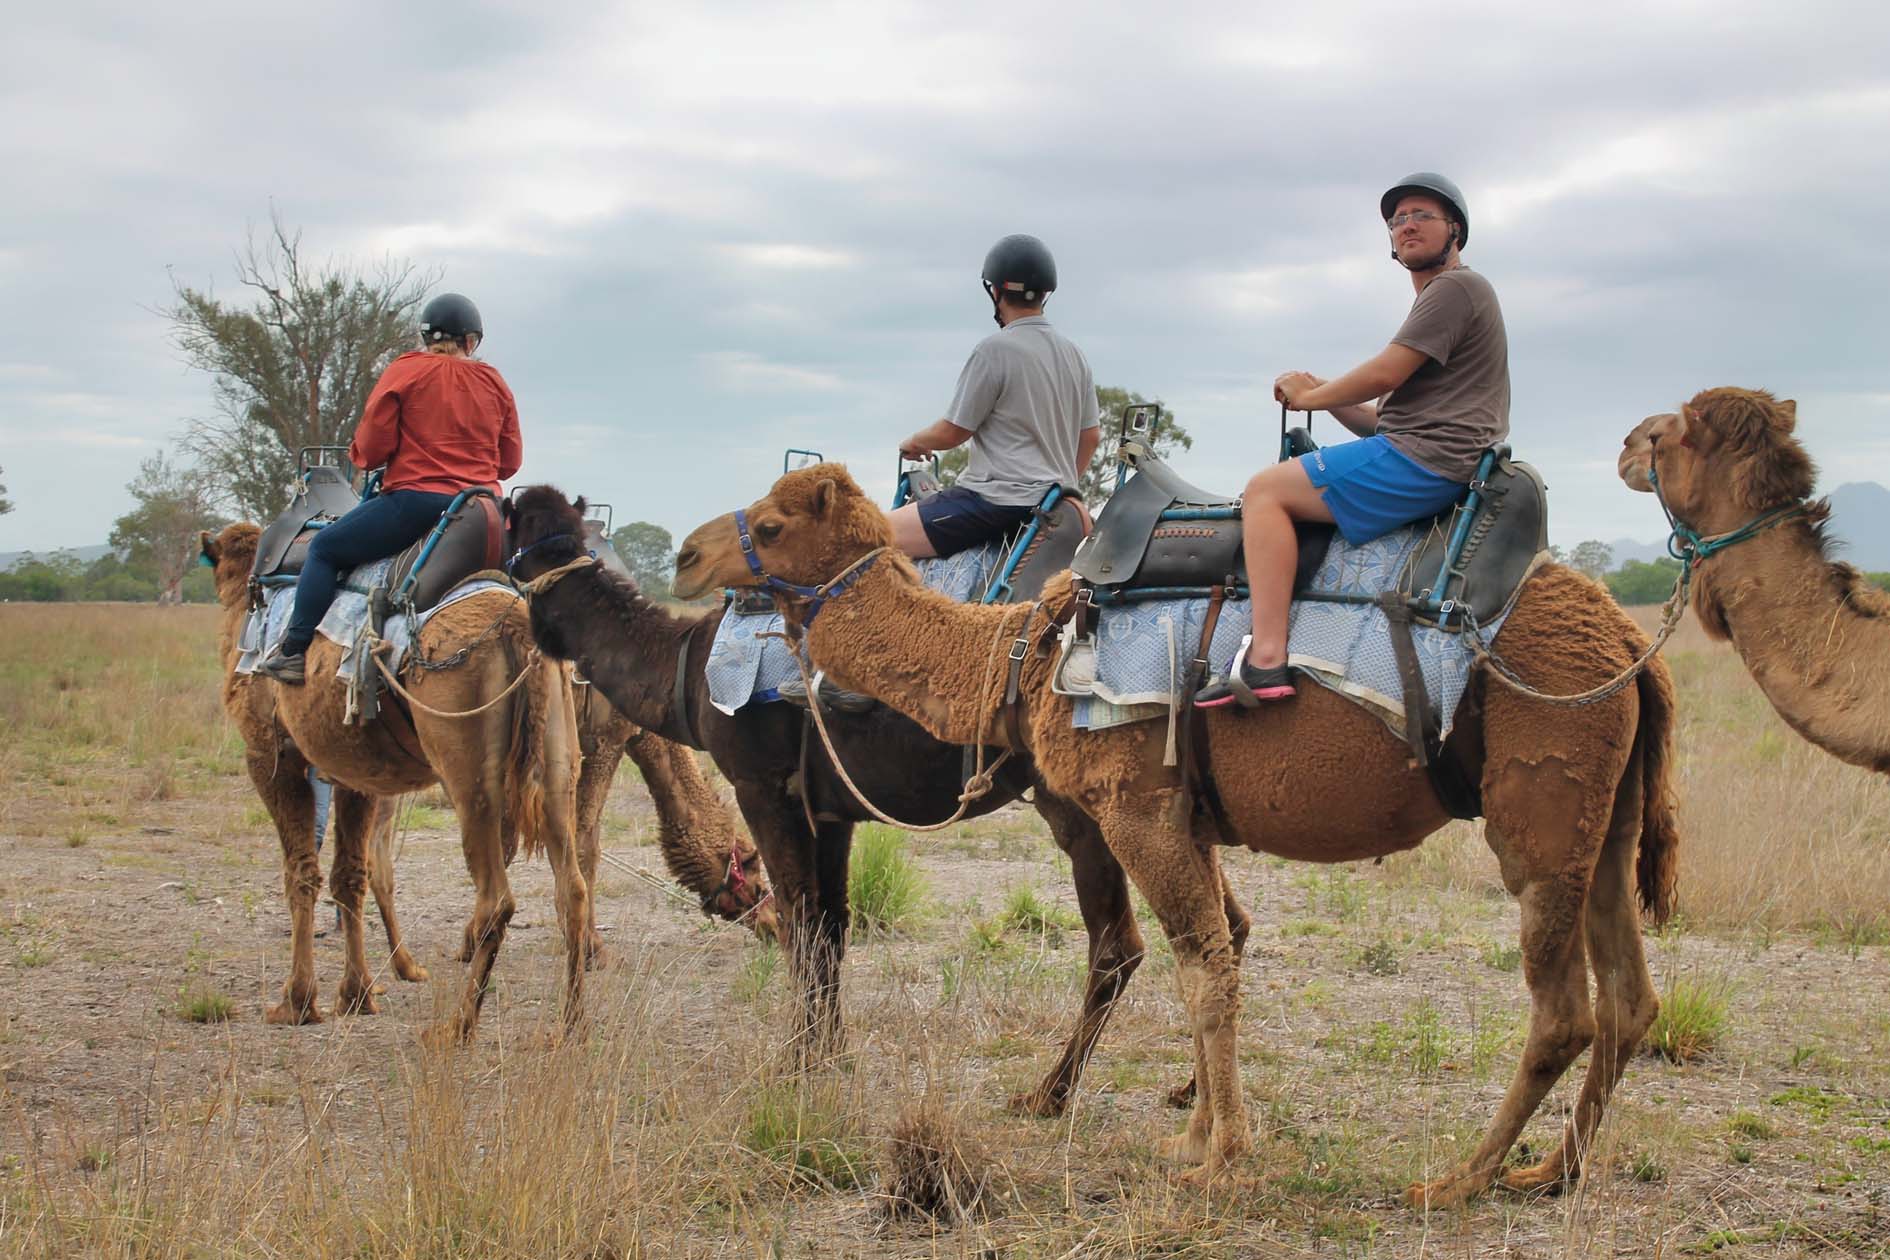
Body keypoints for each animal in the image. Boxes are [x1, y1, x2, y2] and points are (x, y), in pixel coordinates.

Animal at [202, 521, 585, 1042]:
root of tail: (516, 628)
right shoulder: (357, 773)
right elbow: (350, 876)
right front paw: (357, 993)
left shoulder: (270, 756)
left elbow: (301, 873)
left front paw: (296, 1001)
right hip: (557, 757)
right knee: (572, 889)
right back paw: (571, 1025)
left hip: (466, 769)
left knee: (496, 899)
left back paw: (456, 1028)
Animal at [506, 487, 1239, 1118]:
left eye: (516, 538)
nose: (686, 560)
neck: (685, 668)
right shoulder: (829, 808)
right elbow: (832, 930)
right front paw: (832, 1055)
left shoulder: (762, 787)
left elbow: (801, 928)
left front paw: (795, 1064)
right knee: (1221, 928)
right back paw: (1187, 1092)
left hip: (1086, 803)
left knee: (1122, 945)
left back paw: (1049, 1095)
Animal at [676, 462, 1685, 1201]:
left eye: (772, 525)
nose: (687, 553)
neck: (1025, 654)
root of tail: (1633, 654)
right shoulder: (1182, 815)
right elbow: (1209, 957)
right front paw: (1196, 1134)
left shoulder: (1135, 807)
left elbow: (1203, 971)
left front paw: (1221, 1155)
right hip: (1607, 817)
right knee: (1632, 1000)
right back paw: (1551, 1169)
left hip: (1542, 807)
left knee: (1564, 1009)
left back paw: (1458, 1179)